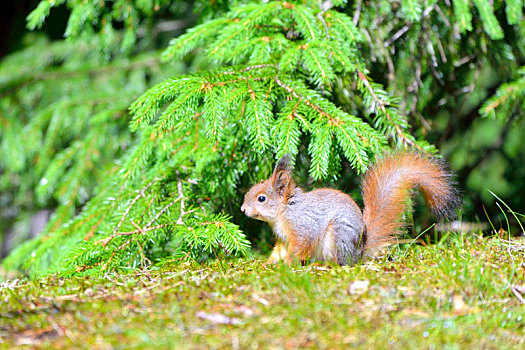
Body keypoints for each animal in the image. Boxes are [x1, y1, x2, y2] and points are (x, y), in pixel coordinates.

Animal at [242, 152, 458, 266]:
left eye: (261, 198)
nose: (243, 210)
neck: (285, 211)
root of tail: (359, 251)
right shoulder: (283, 239)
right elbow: (278, 251)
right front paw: (268, 262)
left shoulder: (303, 228)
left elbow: (300, 247)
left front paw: (288, 263)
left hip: (338, 235)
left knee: (341, 262)